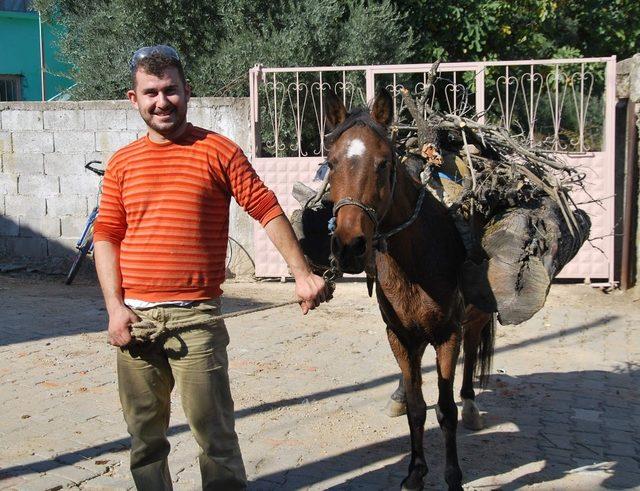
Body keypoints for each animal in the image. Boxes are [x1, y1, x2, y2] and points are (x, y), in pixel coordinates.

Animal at [324, 89, 496, 491]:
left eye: (383, 163)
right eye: (331, 162)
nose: (350, 246)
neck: (414, 260)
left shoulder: (448, 335)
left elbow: (445, 409)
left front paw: (453, 476)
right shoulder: (400, 336)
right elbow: (418, 409)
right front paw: (415, 470)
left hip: (475, 318)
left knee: (471, 356)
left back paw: (471, 405)